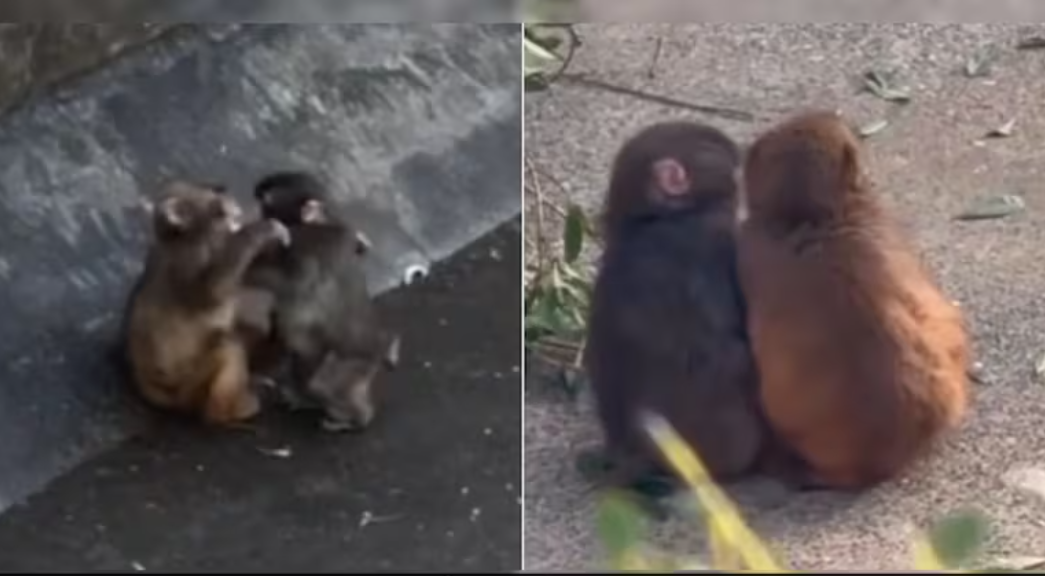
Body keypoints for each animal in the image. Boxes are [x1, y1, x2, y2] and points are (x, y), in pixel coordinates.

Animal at [123, 180, 290, 427]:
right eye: (218, 209)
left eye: (216, 191)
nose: (232, 204)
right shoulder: (188, 257)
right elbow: (211, 292)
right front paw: (261, 230)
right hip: (190, 391)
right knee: (227, 346)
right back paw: (228, 412)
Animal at [242, 170, 400, 433]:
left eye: (266, 202)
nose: (258, 213)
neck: (320, 223)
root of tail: (379, 346)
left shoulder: (304, 243)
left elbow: (279, 280)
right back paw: (305, 399)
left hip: (352, 365)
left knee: (321, 381)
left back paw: (354, 418)